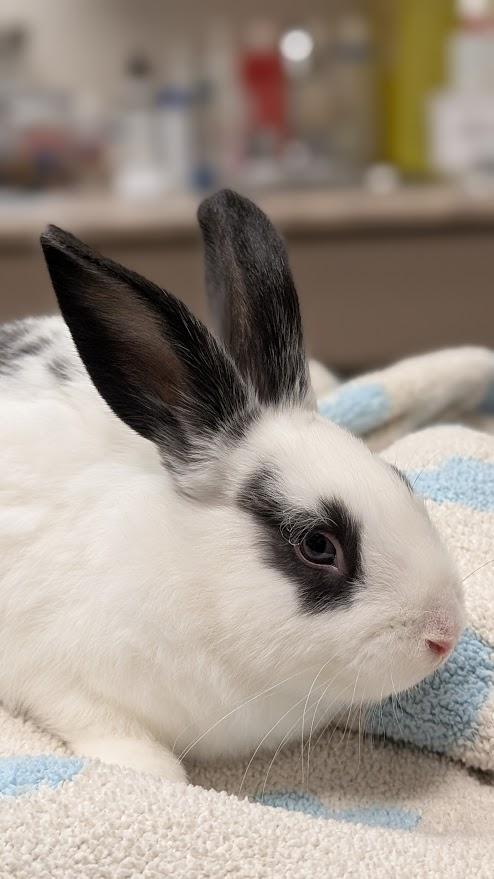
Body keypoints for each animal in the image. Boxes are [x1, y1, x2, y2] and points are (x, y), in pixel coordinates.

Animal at [0, 189, 465, 783]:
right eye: (318, 545)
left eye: (400, 478)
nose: (444, 635)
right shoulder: (62, 677)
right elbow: (105, 725)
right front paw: (157, 773)